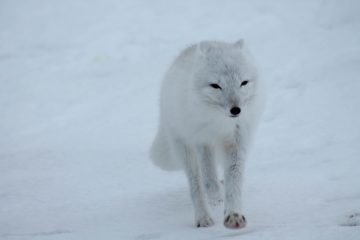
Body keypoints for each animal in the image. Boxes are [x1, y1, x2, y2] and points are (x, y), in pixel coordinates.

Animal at [149, 39, 264, 229]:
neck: (220, 123)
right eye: (215, 86)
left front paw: (233, 215)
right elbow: (209, 180)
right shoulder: (202, 140)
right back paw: (203, 217)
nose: (236, 110)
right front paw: (217, 195)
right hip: (185, 149)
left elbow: (234, 180)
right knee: (197, 184)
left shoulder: (236, 141)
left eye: (243, 83)